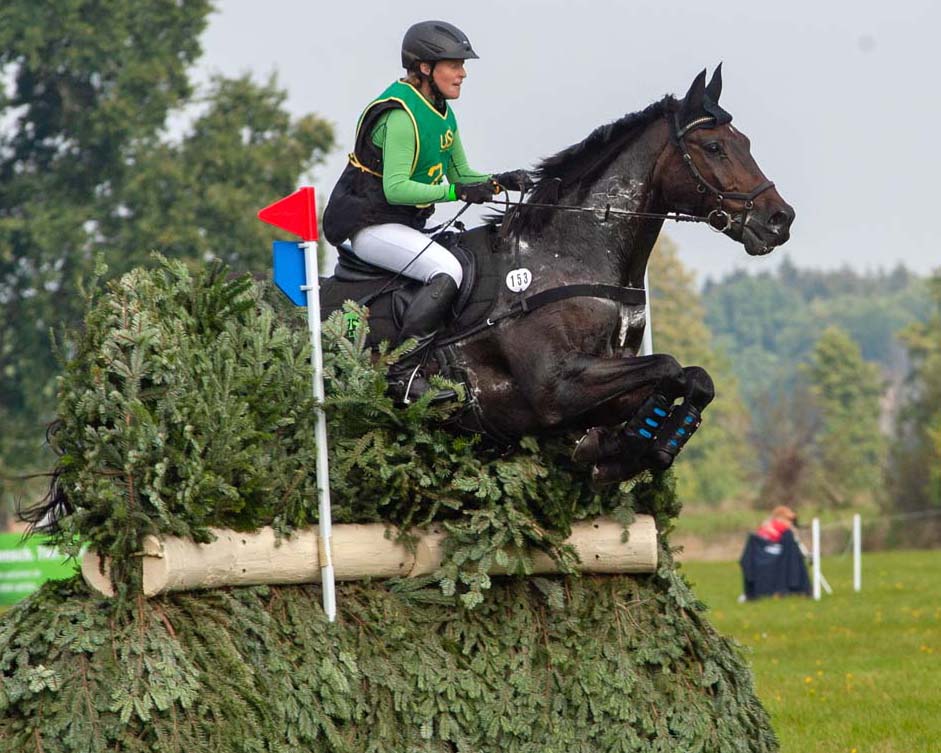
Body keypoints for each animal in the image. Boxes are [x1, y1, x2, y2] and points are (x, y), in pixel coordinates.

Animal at [326, 67, 788, 484]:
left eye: (745, 142)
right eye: (713, 146)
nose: (781, 219)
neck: (569, 252)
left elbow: (694, 379)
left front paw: (628, 449)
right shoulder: (555, 389)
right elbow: (669, 367)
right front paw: (621, 450)